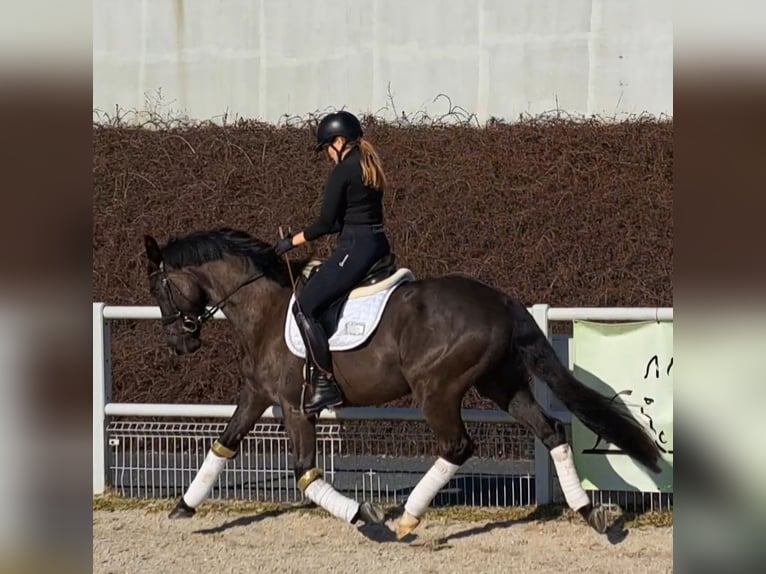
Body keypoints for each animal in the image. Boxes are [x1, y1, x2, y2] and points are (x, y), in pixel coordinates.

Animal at [146, 228, 664, 540]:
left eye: (159, 288)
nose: (177, 341)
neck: (265, 309)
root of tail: (499, 299)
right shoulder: (257, 396)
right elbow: (223, 444)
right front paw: (184, 507)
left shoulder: (295, 408)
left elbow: (306, 475)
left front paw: (366, 516)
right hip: (502, 384)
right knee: (551, 431)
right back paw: (590, 514)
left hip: (437, 389)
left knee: (458, 445)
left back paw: (408, 518)